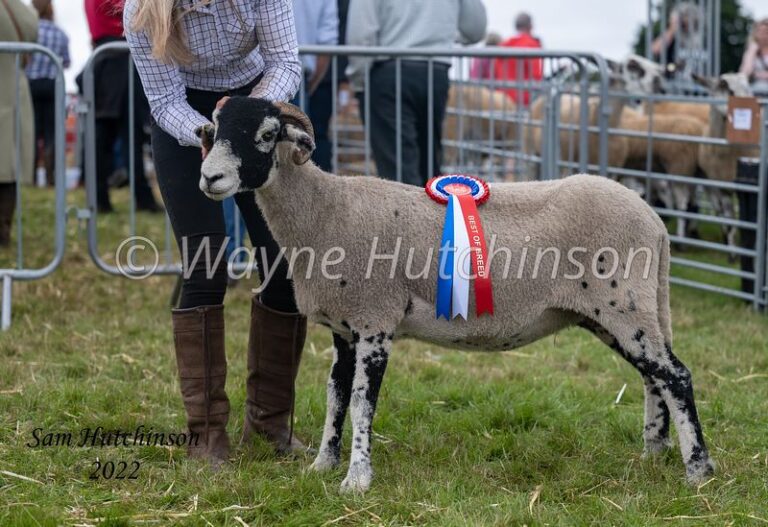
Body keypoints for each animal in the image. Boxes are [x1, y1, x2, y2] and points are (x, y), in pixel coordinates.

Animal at [196, 96, 712, 496]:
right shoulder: (345, 328)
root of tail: (654, 220)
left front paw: (357, 480)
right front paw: (323, 465)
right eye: (213, 131)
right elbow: (335, 396)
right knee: (653, 377)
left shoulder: (376, 319)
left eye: (266, 134)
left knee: (677, 376)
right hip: (618, 313)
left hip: (625, 304)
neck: (327, 211)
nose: (209, 180)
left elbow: (362, 402)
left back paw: (698, 470)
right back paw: (652, 453)